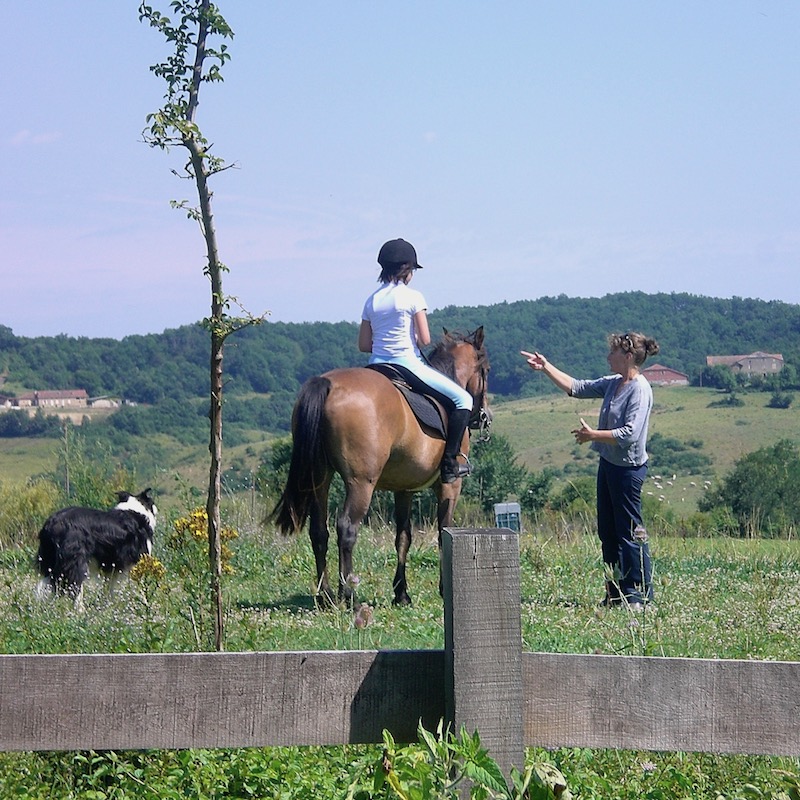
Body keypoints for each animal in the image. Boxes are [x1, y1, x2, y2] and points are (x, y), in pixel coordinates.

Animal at [272, 326, 490, 608]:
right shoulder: (450, 487)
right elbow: (444, 534)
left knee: (319, 531)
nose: (483, 416)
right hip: (361, 482)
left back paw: (326, 596)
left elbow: (403, 537)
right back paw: (349, 595)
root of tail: (328, 384)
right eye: (486, 370)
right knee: (347, 528)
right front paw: (444, 589)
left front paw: (401, 593)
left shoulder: (404, 490)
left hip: (320, 477)